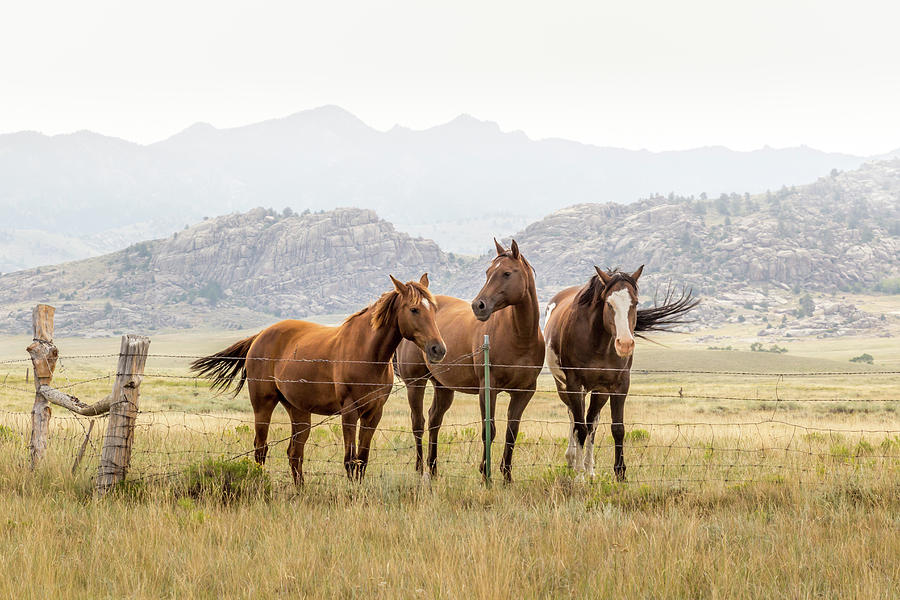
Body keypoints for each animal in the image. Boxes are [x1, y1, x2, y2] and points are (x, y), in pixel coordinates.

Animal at [191, 276, 446, 482]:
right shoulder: (349, 411)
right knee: (260, 449)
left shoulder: (374, 413)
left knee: (294, 454)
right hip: (263, 404)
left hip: (298, 410)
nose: (438, 349)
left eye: (434, 309)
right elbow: (349, 461)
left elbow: (362, 460)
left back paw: (300, 491)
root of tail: (260, 335)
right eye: (414, 309)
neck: (367, 354)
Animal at [398, 239, 544, 482]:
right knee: (418, 423)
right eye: (487, 272)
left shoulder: (524, 392)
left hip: (443, 386)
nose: (479, 306)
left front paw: (507, 476)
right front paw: (486, 474)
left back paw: (433, 469)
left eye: (506, 273)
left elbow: (511, 432)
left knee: (434, 420)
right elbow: (489, 430)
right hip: (415, 383)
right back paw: (420, 470)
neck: (519, 337)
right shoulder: (488, 388)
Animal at [544, 264, 700, 480]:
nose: (625, 344)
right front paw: (579, 475)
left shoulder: (619, 385)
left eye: (635, 302)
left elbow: (617, 428)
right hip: (565, 386)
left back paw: (590, 469)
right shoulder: (575, 384)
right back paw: (572, 461)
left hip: (599, 391)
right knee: (574, 420)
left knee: (591, 422)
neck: (598, 345)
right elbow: (579, 428)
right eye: (609, 303)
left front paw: (620, 474)